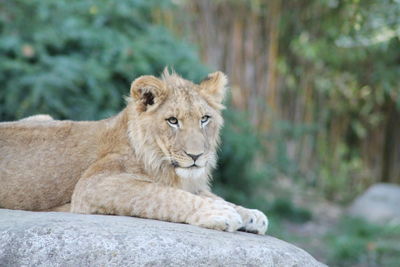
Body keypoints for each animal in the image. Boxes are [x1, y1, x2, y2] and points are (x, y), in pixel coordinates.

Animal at [0, 70, 268, 236]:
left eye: (204, 119)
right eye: (172, 121)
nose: (196, 156)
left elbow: (212, 195)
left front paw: (250, 215)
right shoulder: (94, 185)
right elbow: (164, 195)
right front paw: (219, 213)